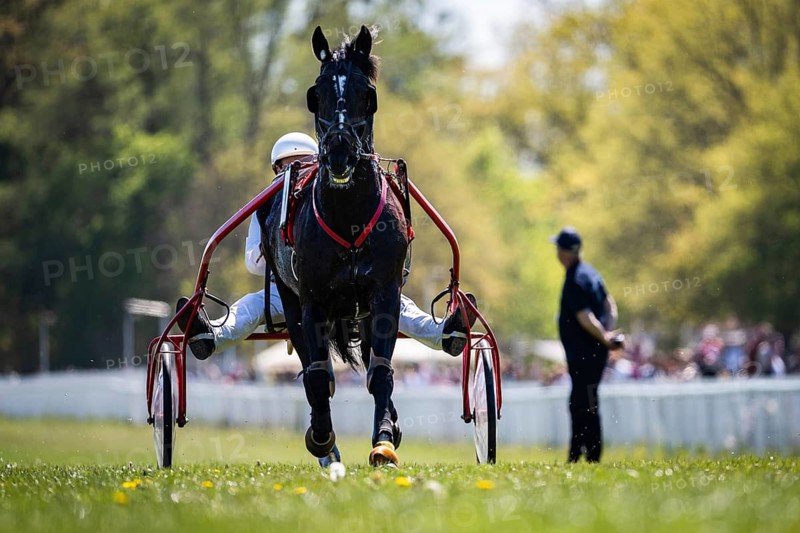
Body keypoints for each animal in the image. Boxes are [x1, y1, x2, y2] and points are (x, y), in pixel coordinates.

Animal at [259, 25, 410, 467]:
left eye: (366, 92)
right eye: (318, 92)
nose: (340, 152)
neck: (349, 216)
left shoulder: (384, 292)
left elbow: (381, 370)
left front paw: (384, 439)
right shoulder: (312, 300)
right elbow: (319, 375)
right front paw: (322, 436)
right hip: (289, 299)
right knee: (312, 366)